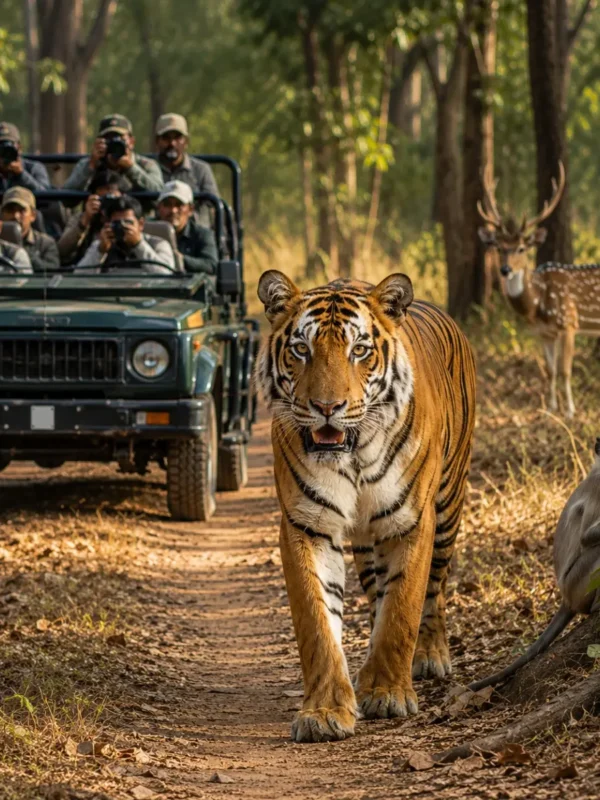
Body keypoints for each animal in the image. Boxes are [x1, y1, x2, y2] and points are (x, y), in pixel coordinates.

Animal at [256, 270, 476, 743]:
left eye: (359, 350)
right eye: (301, 349)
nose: (327, 408)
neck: (352, 455)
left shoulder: (411, 521)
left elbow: (403, 607)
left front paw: (389, 693)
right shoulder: (308, 525)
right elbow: (317, 622)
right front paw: (324, 712)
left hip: (449, 505)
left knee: (436, 589)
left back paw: (429, 655)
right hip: (365, 541)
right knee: (377, 592)